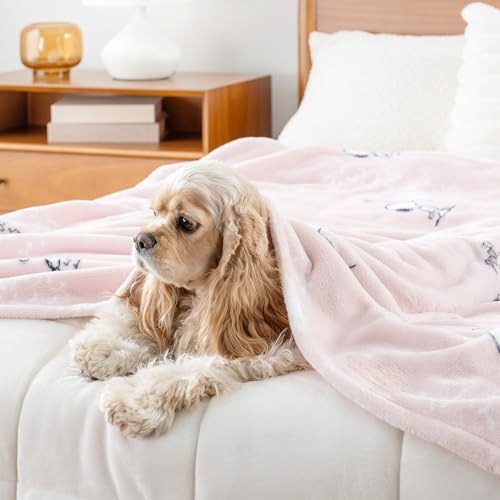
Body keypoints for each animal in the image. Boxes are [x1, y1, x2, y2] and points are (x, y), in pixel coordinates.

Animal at [70, 161, 308, 437]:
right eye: (154, 213)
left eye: (185, 222)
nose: (139, 239)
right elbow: (146, 330)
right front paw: (103, 349)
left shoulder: (273, 350)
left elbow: (191, 368)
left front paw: (132, 399)